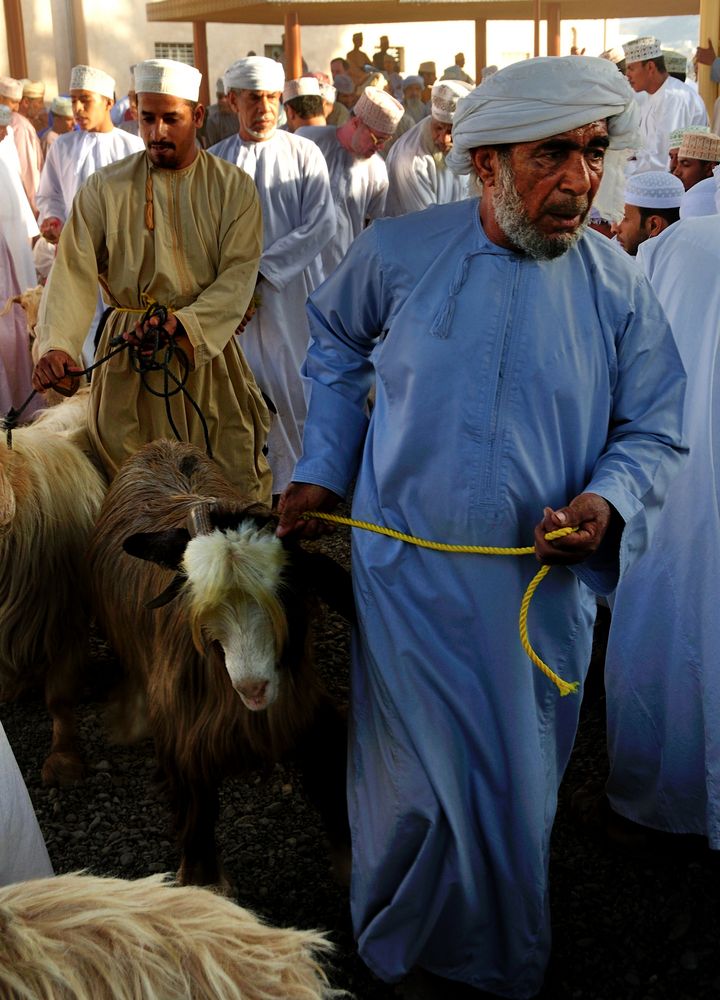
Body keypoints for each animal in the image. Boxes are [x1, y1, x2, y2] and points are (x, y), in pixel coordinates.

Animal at [88, 442, 352, 888]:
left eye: (285, 588)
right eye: (199, 599)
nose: (253, 689)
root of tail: (160, 444)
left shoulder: (307, 715)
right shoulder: (184, 745)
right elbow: (197, 819)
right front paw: (204, 883)